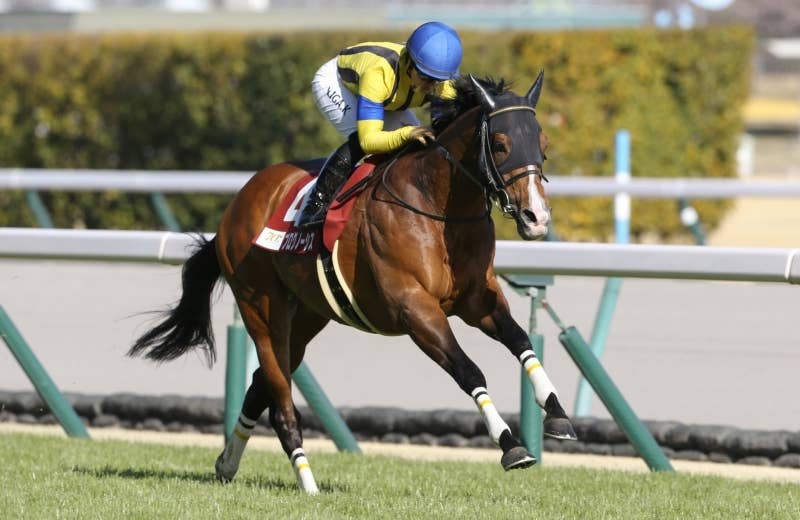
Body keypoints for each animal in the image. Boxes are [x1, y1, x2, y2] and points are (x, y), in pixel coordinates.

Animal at [128, 72, 577, 494]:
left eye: (542, 143)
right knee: (279, 397)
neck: (436, 206)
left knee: (261, 384)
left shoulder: (476, 299)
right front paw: (511, 446)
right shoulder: (415, 308)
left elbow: (520, 340)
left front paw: (557, 415)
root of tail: (239, 200)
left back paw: (227, 463)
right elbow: (469, 371)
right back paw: (307, 482)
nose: (537, 217)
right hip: (261, 306)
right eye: (500, 144)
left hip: (307, 314)